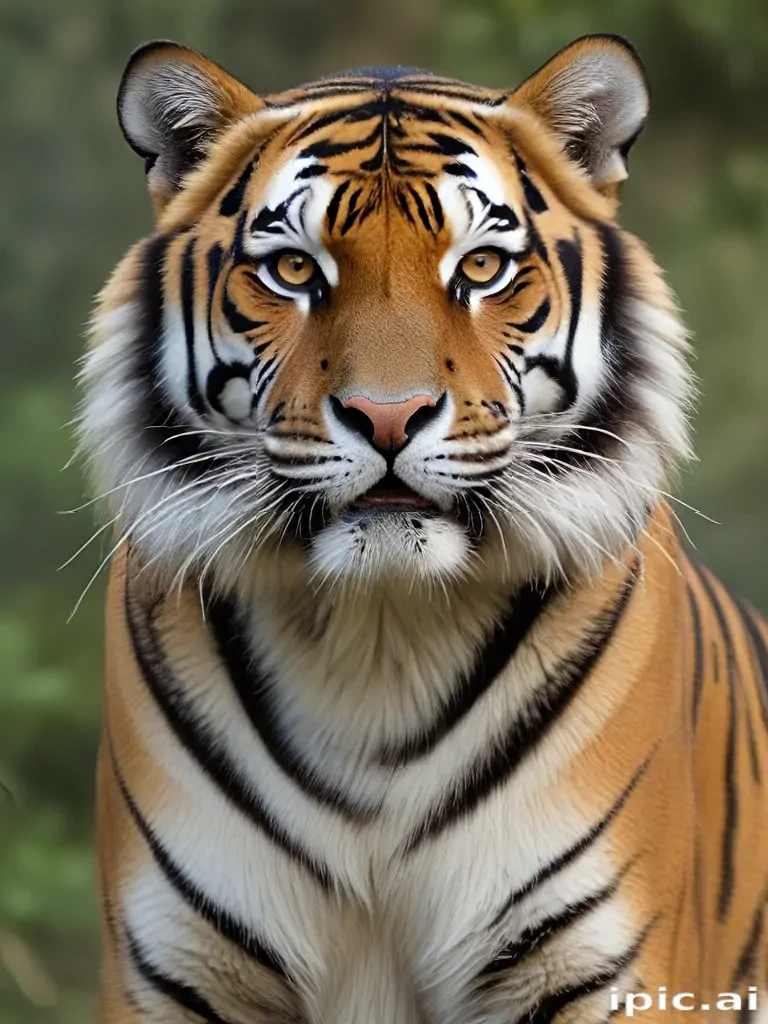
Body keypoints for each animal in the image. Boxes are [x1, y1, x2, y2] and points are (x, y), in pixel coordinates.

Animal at [77, 32, 768, 1023]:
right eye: (295, 270)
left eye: (480, 268)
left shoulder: (604, 972)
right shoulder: (169, 973)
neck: (379, 634)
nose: (389, 416)